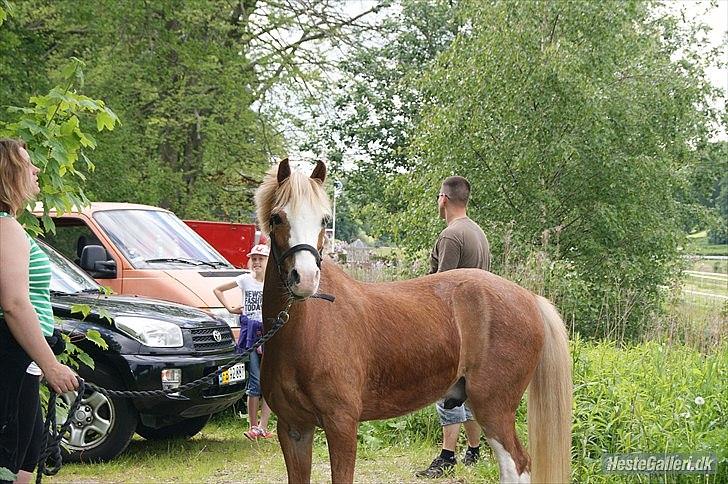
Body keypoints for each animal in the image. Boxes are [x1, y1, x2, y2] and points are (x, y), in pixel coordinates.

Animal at [253, 161, 572, 482]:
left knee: (516, 466)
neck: (307, 331)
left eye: (324, 220)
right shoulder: (293, 429)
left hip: (493, 407)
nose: (305, 278)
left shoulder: (341, 425)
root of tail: (529, 297)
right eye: (277, 218)